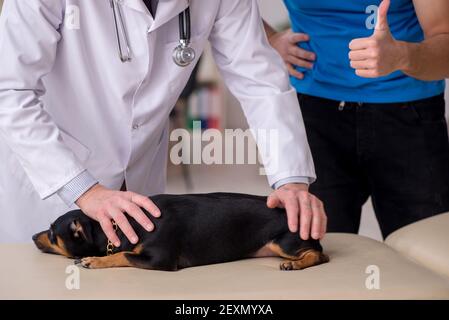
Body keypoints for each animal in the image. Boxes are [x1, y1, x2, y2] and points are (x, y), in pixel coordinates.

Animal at [30, 192, 326, 270]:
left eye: (52, 233)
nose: (33, 236)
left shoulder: (160, 259)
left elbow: (122, 255)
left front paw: (94, 260)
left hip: (283, 243)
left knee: (319, 255)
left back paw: (296, 264)